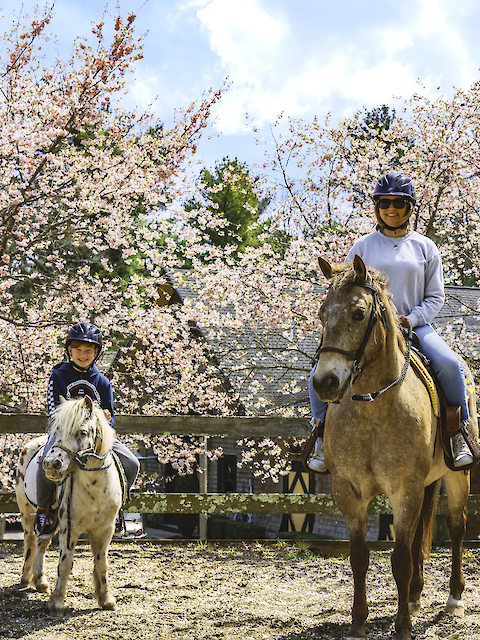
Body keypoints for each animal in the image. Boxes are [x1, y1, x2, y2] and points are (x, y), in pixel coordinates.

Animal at [312, 255, 476, 640]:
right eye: (322, 313)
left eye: (359, 313)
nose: (324, 382)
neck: (373, 407)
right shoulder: (349, 491)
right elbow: (359, 556)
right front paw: (358, 623)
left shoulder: (405, 489)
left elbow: (400, 559)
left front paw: (402, 627)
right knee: (418, 536)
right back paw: (414, 597)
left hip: (455, 477)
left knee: (457, 527)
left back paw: (454, 599)